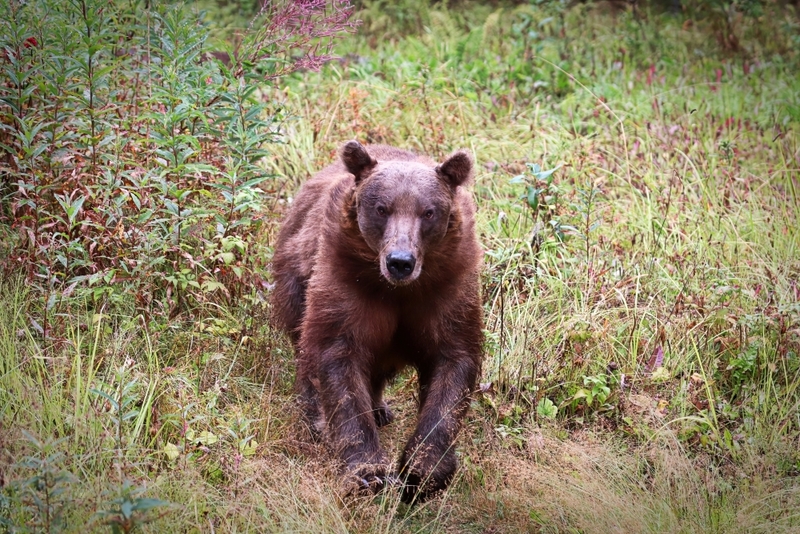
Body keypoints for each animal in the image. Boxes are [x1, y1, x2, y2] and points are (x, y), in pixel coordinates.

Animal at [272, 140, 482, 504]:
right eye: (382, 208)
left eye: (429, 212)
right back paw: (317, 419)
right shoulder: (346, 278)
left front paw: (422, 471)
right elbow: (338, 359)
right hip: (296, 277)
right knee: (305, 350)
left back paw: (380, 408)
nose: (400, 261)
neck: (399, 290)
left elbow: (453, 363)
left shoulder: (449, 287)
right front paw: (369, 473)